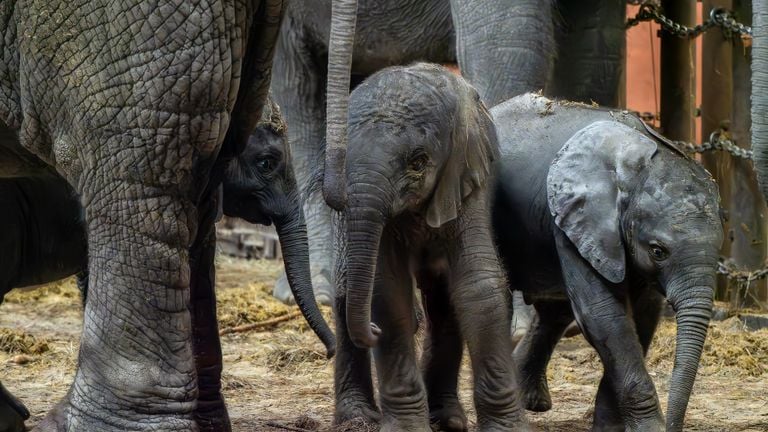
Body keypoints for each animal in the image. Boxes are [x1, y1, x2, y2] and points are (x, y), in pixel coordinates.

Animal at [330, 63, 528, 432]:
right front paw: (406, 427)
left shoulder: (467, 178)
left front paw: (506, 427)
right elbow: (388, 290)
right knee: (347, 286)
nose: (372, 331)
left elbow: (478, 286)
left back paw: (448, 419)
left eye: (418, 162)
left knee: (443, 302)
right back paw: (357, 418)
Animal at [492, 93, 728, 430]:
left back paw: (531, 402)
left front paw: (611, 427)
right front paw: (650, 428)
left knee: (555, 311)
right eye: (658, 251)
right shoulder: (577, 219)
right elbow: (604, 313)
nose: (674, 425)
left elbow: (641, 317)